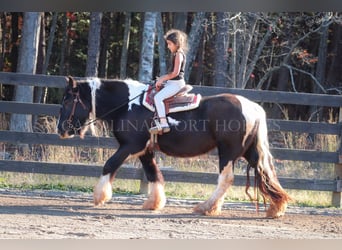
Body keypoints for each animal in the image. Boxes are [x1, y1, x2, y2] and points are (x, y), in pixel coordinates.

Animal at [57, 76, 290, 219]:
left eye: (68, 100)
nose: (60, 129)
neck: (129, 105)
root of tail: (253, 108)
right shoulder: (145, 150)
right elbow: (153, 174)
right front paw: (154, 203)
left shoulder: (130, 146)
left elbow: (109, 164)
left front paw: (100, 196)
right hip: (249, 152)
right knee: (267, 174)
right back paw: (276, 208)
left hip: (228, 153)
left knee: (226, 180)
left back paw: (206, 207)